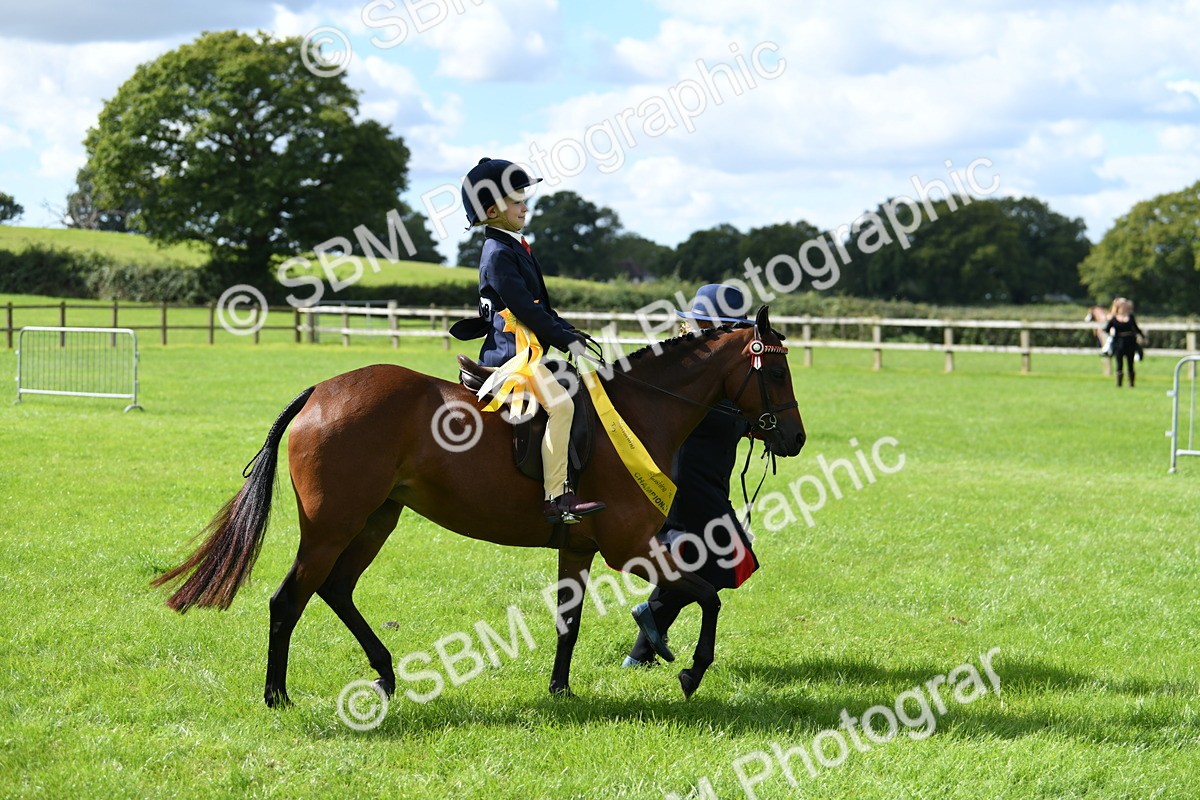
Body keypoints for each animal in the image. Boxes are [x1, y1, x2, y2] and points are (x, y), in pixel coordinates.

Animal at [152, 305, 806, 706]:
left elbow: (569, 621)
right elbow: (709, 595)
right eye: (776, 371)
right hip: (332, 526)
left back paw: (384, 671)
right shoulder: (630, 547)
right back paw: (278, 695)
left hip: (375, 520)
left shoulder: (580, 546)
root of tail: (321, 391)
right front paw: (691, 670)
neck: (642, 411)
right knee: (290, 599)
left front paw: (561, 690)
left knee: (336, 589)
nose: (796, 440)